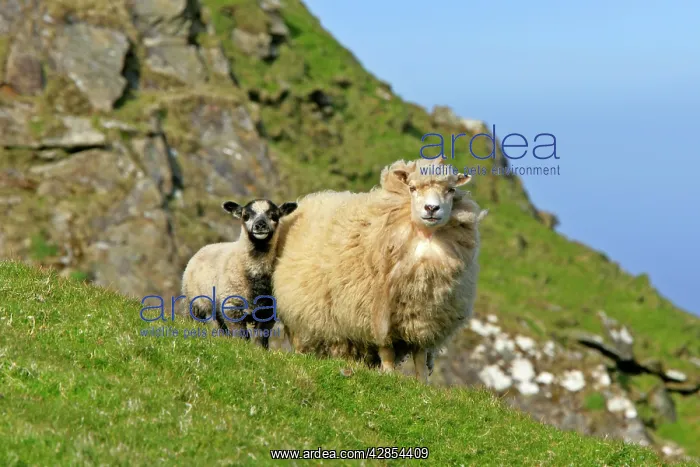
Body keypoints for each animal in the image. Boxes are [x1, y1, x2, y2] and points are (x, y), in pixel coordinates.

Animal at [181, 199, 297, 348]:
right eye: (245, 215)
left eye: (274, 215)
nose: (260, 225)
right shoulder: (232, 305)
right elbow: (241, 335)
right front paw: (240, 346)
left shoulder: (268, 310)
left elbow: (261, 336)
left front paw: (260, 350)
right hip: (192, 299)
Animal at [272, 158, 488, 381]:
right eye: (412, 188)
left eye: (451, 190)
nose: (431, 208)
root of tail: (312, 199)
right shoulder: (376, 312)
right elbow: (386, 348)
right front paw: (390, 375)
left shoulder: (424, 319)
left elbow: (420, 355)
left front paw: (422, 382)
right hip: (299, 315)